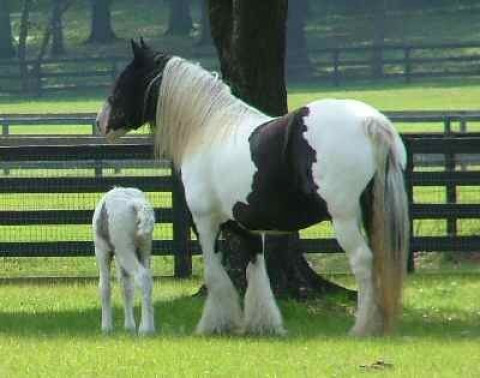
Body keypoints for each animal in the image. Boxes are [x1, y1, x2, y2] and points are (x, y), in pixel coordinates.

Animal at [92, 187, 156, 334]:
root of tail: (136, 204)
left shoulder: (102, 251)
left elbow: (105, 287)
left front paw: (106, 328)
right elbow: (126, 287)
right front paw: (129, 327)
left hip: (124, 249)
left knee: (142, 277)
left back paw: (146, 330)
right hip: (145, 248)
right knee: (147, 279)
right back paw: (149, 326)